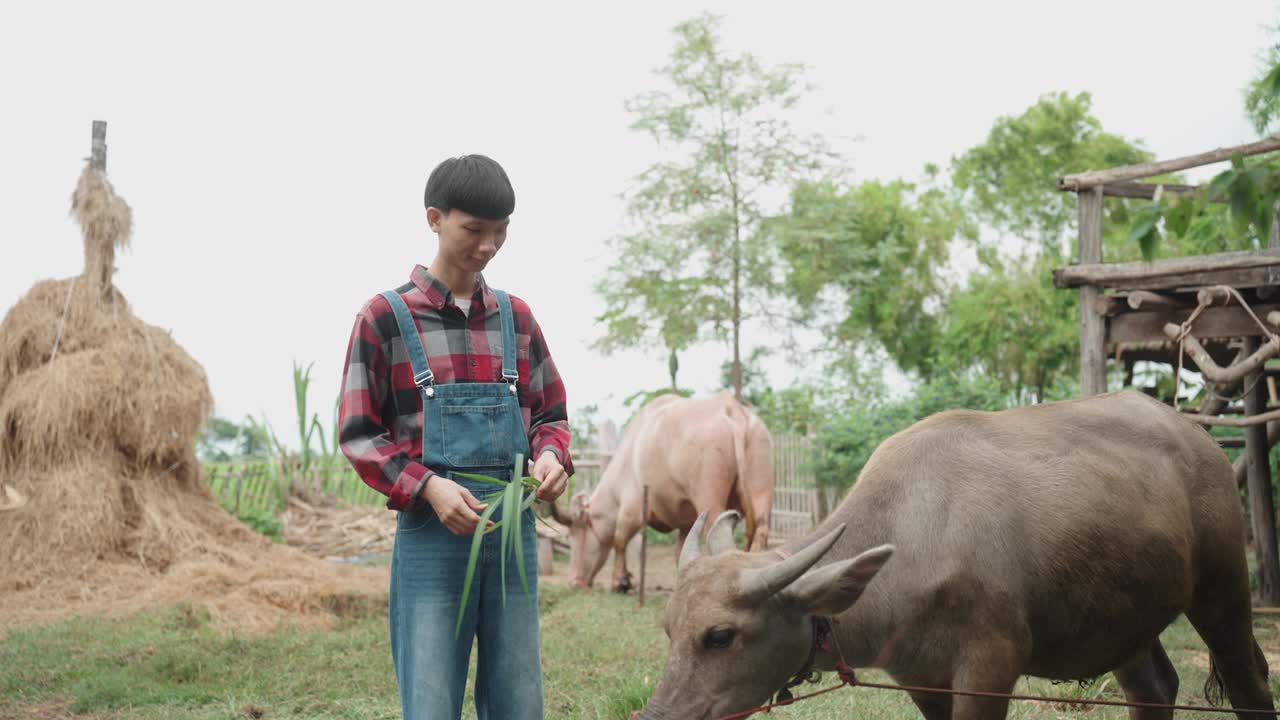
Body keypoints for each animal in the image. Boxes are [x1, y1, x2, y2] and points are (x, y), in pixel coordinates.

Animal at [568, 392, 768, 589]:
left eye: (577, 534)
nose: (575, 581)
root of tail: (731, 409)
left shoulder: (632, 510)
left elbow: (619, 540)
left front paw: (620, 581)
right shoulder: (687, 521)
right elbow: (680, 550)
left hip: (708, 497)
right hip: (760, 487)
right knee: (761, 530)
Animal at [637, 389, 1269, 717]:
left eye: (720, 636)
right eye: (668, 630)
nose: (657, 716)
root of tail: (1202, 440)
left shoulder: (990, 669)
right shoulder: (922, 678)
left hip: (1222, 589)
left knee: (1249, 682)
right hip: (1124, 618)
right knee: (1154, 690)